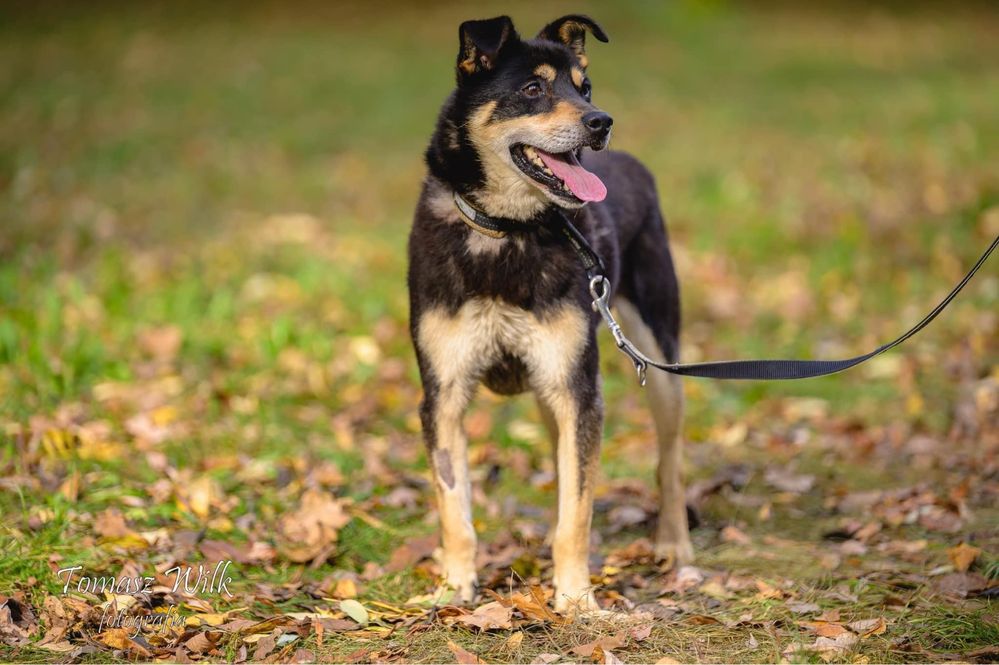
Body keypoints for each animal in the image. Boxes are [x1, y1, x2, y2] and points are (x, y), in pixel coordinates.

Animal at [406, 13, 688, 612]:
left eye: (585, 87)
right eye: (533, 89)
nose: (601, 122)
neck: (507, 230)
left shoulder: (577, 390)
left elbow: (576, 513)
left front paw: (577, 599)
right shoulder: (443, 394)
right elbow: (455, 511)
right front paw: (454, 588)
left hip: (660, 358)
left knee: (669, 460)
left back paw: (675, 543)